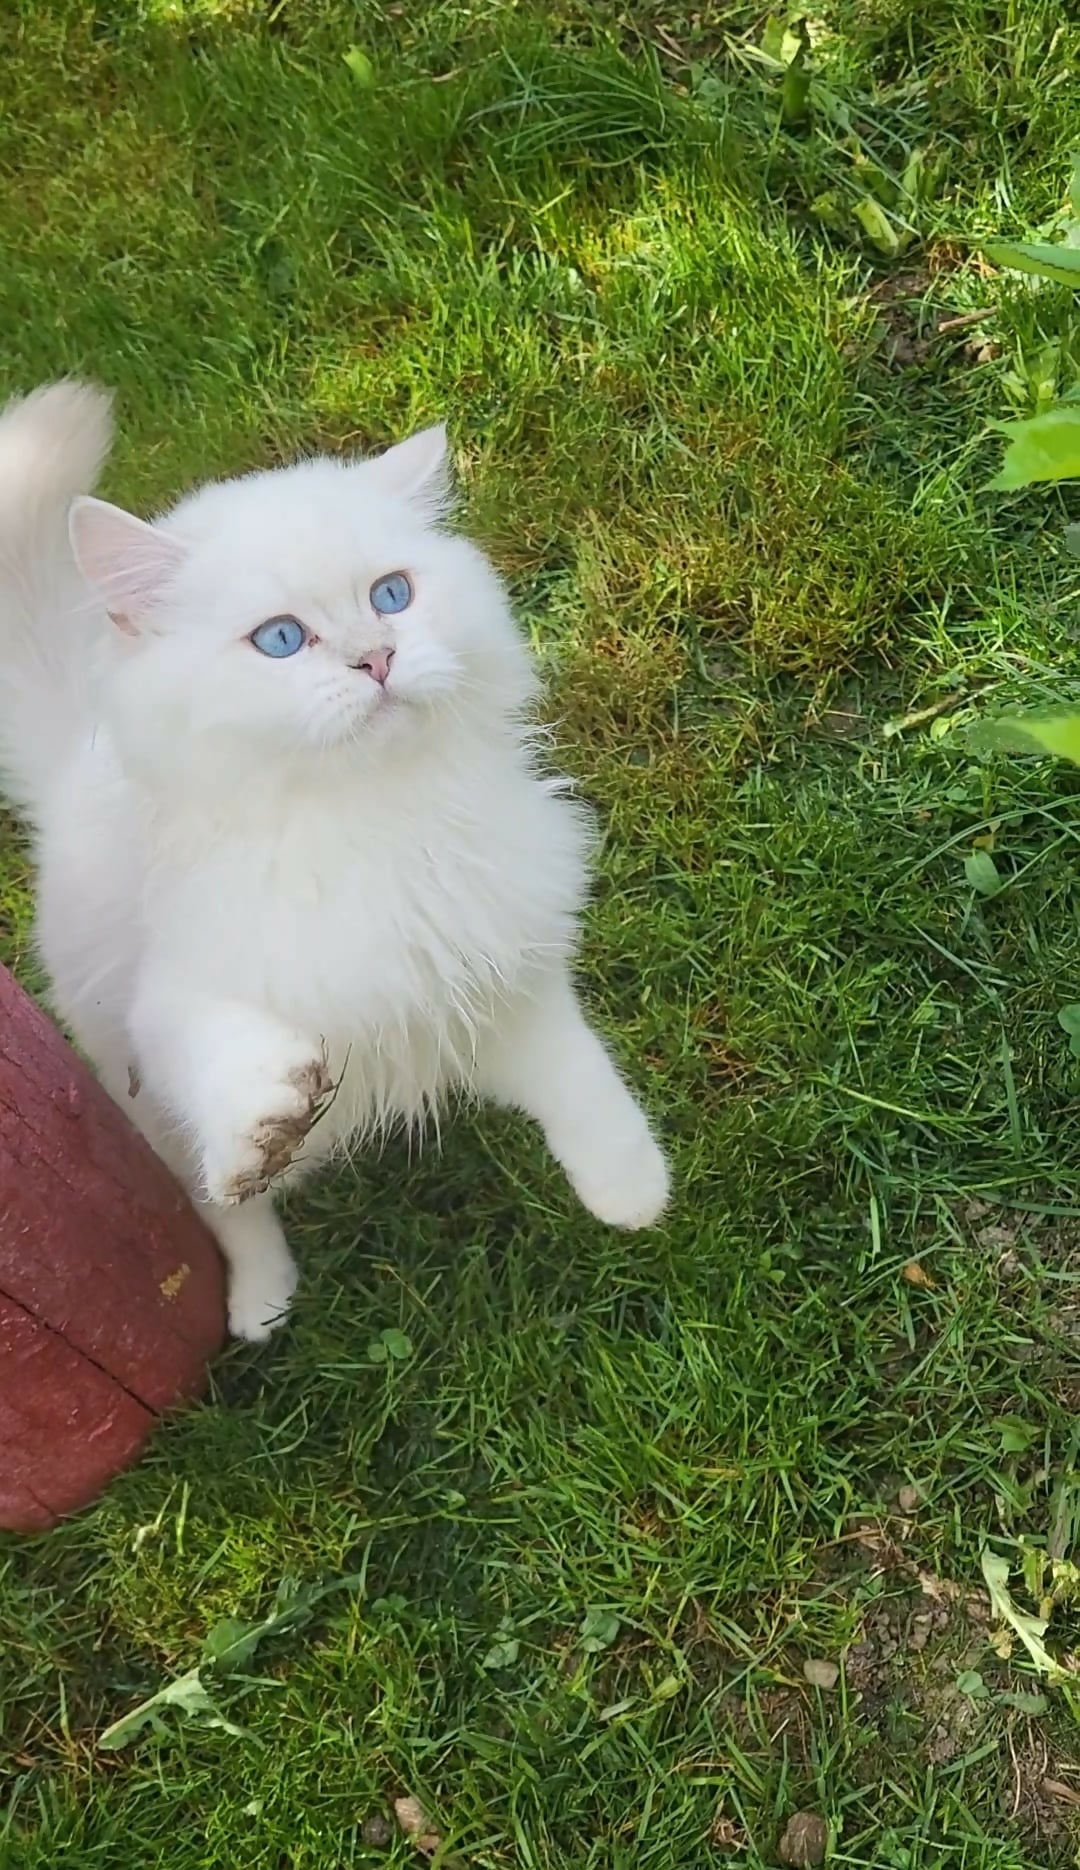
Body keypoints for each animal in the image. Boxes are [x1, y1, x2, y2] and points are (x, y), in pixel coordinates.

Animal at [0, 387, 665, 1338]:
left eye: (393, 595)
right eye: (281, 640)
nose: (376, 658)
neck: (370, 817)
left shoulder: (505, 971)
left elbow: (581, 1077)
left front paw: (632, 1187)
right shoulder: (173, 993)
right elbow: (222, 1052)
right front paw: (266, 1124)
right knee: (219, 1207)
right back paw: (261, 1301)